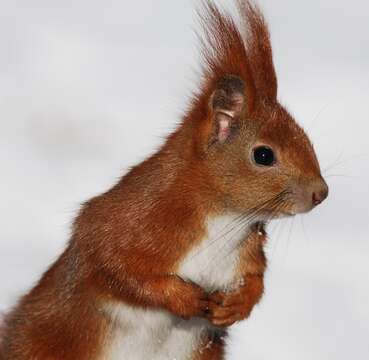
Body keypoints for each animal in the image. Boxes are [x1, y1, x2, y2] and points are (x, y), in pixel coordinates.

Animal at [0, 0, 328, 360]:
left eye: (306, 137)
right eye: (264, 155)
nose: (321, 193)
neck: (226, 219)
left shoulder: (246, 254)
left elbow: (255, 280)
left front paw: (236, 304)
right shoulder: (133, 216)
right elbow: (113, 262)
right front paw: (183, 297)